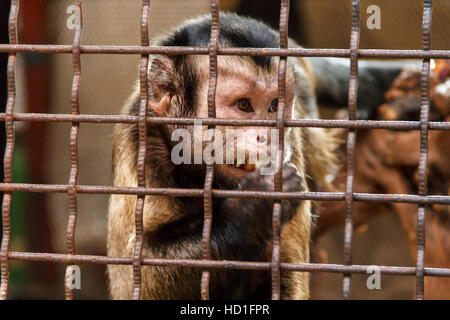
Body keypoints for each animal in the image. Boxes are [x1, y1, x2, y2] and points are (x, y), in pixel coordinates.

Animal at [107, 11, 402, 298]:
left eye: (274, 105)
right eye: (243, 105)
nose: (268, 136)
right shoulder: (141, 144)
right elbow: (134, 276)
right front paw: (253, 206)